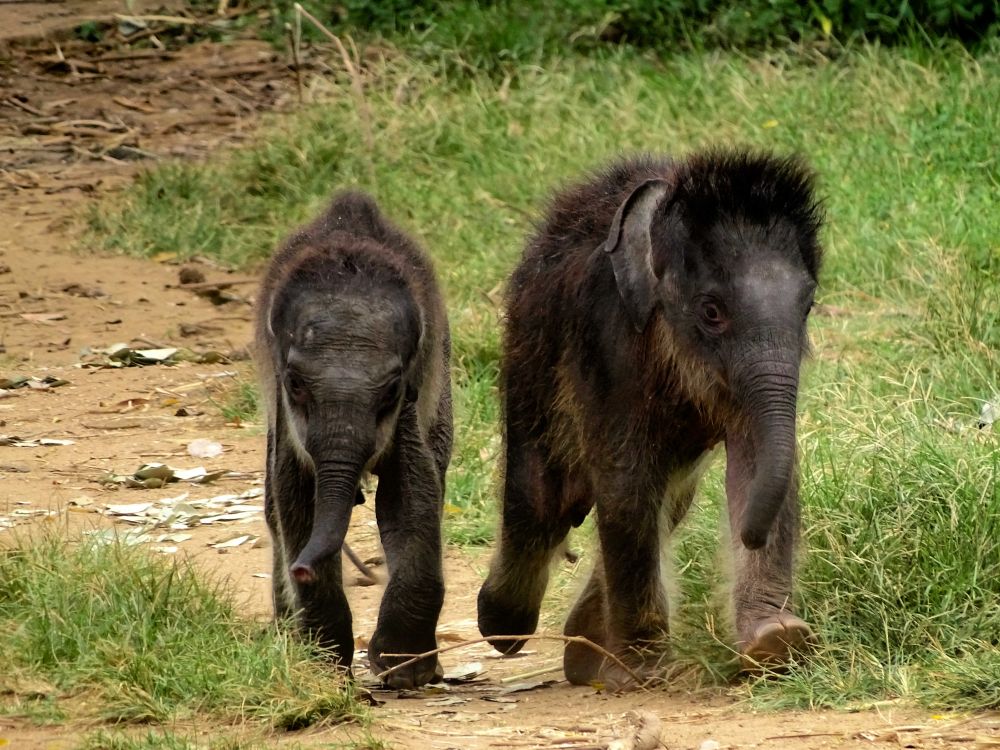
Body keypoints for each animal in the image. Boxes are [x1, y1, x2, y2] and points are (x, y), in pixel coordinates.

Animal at [480, 150, 824, 692]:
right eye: (711, 312)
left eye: (807, 305)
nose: (751, 534)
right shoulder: (607, 340)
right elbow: (627, 479)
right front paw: (641, 675)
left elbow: (754, 462)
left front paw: (778, 642)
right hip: (526, 358)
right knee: (539, 501)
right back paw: (503, 625)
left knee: (671, 503)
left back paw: (583, 657)